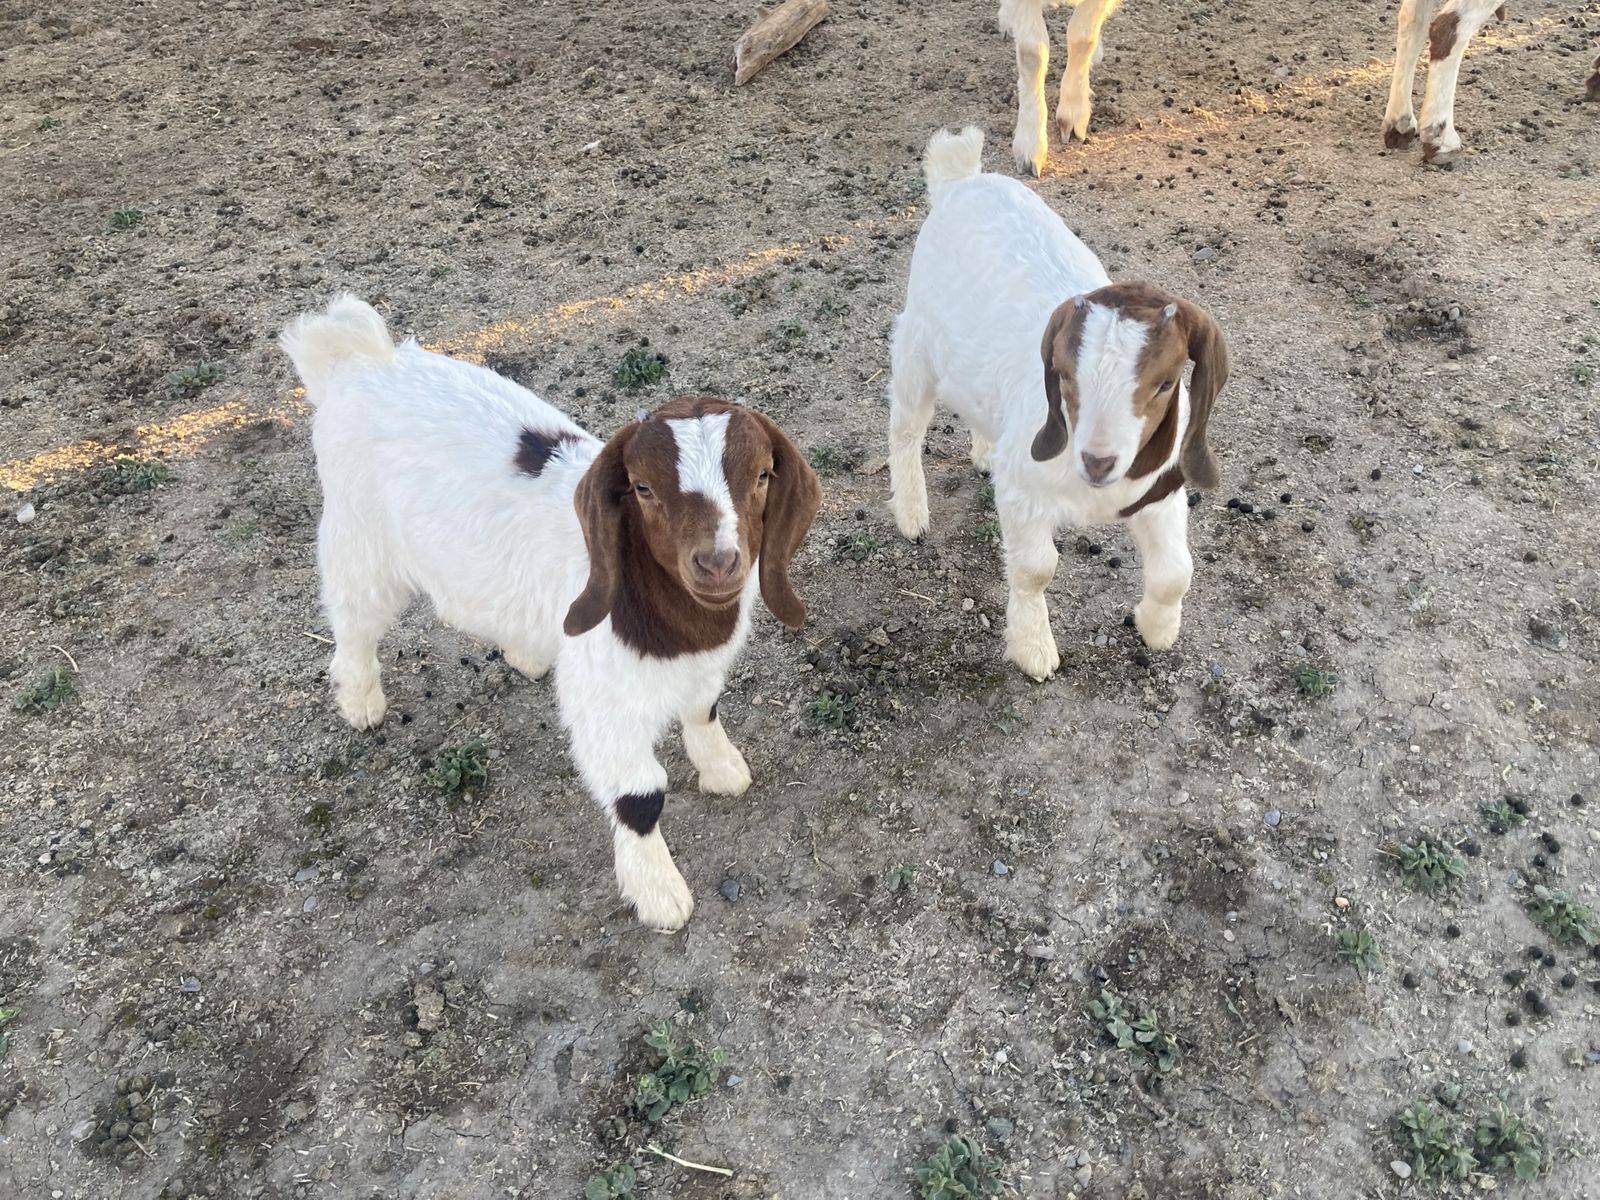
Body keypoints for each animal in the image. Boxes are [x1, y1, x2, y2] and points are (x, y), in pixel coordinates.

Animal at [280, 296, 822, 930]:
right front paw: (659, 894)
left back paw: (524, 652)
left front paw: (723, 770)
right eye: (642, 488)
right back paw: (361, 701)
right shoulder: (604, 700)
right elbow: (640, 797)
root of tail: (358, 361)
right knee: (354, 617)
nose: (717, 563)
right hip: (360, 534)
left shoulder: (701, 669)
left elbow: (703, 709)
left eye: (761, 475)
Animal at [887, 129, 1230, 681]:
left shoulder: (1160, 491)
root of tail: (961, 178)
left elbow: (1177, 572)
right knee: (905, 428)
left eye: (1165, 384)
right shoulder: (1025, 496)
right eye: (1064, 375)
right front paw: (1034, 649)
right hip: (917, 344)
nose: (1098, 461)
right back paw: (911, 514)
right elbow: (1035, 570)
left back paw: (985, 453)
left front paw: (1157, 629)